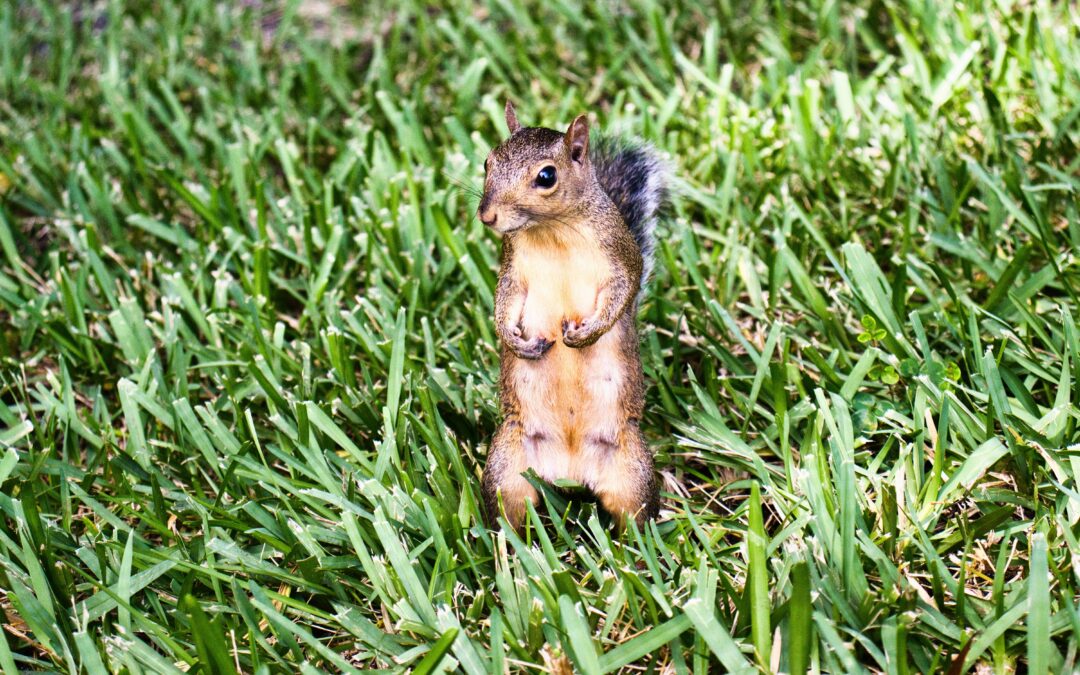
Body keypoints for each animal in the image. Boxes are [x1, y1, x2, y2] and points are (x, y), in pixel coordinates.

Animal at [478, 101, 668, 532]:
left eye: (546, 176)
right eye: (487, 161)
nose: (487, 216)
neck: (553, 231)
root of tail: (570, 470)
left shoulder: (621, 255)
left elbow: (623, 292)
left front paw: (587, 335)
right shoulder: (513, 269)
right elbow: (503, 300)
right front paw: (513, 340)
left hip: (632, 472)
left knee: (635, 521)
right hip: (505, 468)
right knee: (508, 517)